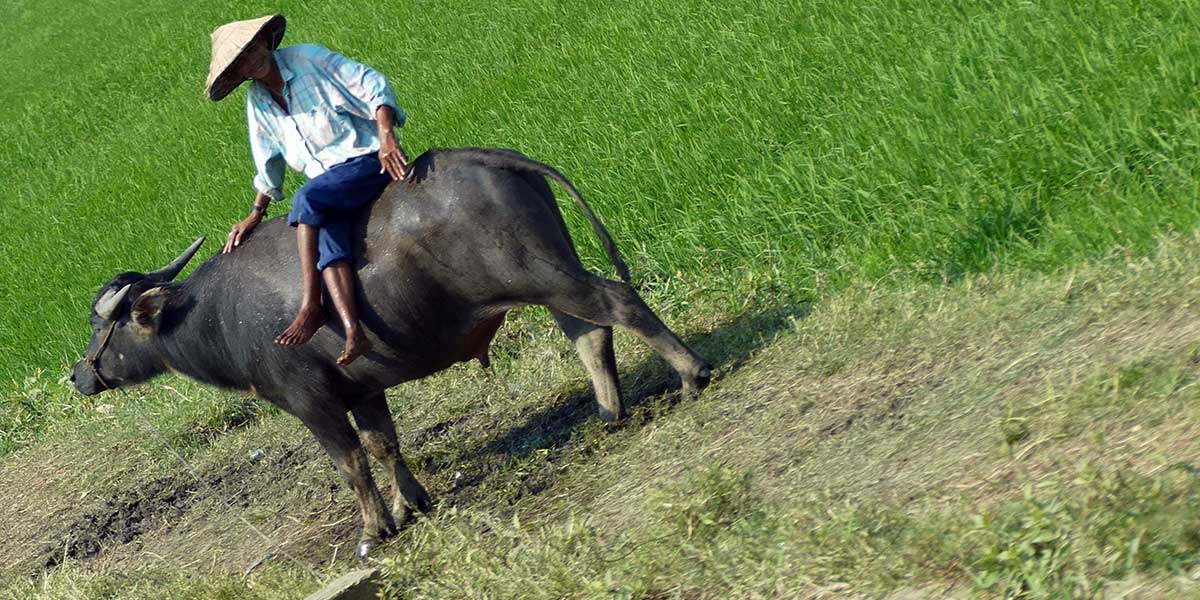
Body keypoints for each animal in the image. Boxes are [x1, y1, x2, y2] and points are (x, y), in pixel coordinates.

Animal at [70, 148, 710, 556]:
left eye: (103, 326)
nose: (78, 375)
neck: (218, 313)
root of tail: (491, 156)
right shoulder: (363, 387)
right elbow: (384, 444)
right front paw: (410, 505)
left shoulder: (309, 399)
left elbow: (349, 460)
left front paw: (374, 529)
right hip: (549, 275)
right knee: (589, 332)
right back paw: (609, 412)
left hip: (544, 276)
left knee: (617, 302)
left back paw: (691, 375)